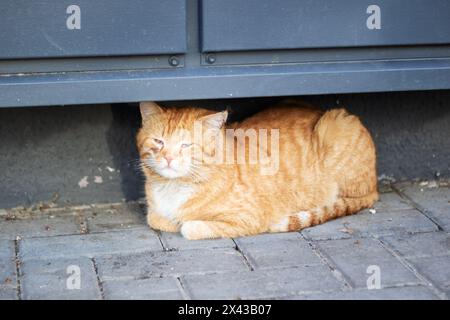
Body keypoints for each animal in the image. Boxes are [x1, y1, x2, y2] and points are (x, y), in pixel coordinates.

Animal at [136, 100, 376, 240]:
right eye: (158, 141)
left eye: (186, 145)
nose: (168, 158)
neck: (173, 187)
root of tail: (375, 187)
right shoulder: (155, 211)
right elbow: (155, 218)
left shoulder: (248, 220)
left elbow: (188, 228)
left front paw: (183, 223)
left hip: (338, 124)